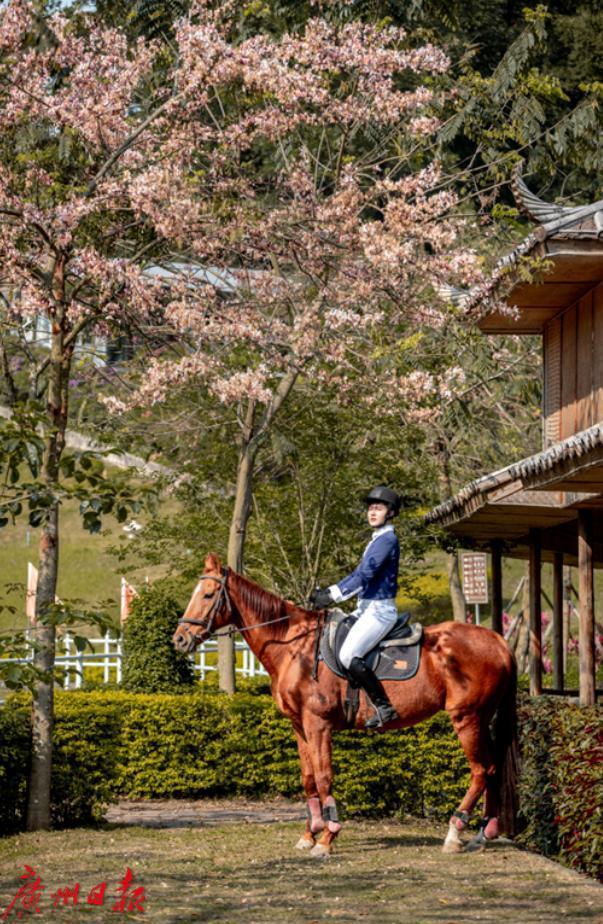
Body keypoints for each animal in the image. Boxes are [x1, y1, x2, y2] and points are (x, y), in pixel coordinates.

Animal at [172, 552, 516, 856]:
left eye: (208, 594)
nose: (179, 639)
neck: (295, 647)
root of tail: (498, 640)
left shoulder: (318, 724)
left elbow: (324, 776)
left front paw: (328, 836)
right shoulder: (299, 726)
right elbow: (308, 778)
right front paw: (309, 834)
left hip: (467, 718)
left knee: (480, 770)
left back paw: (455, 832)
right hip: (482, 718)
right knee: (494, 768)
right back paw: (483, 833)